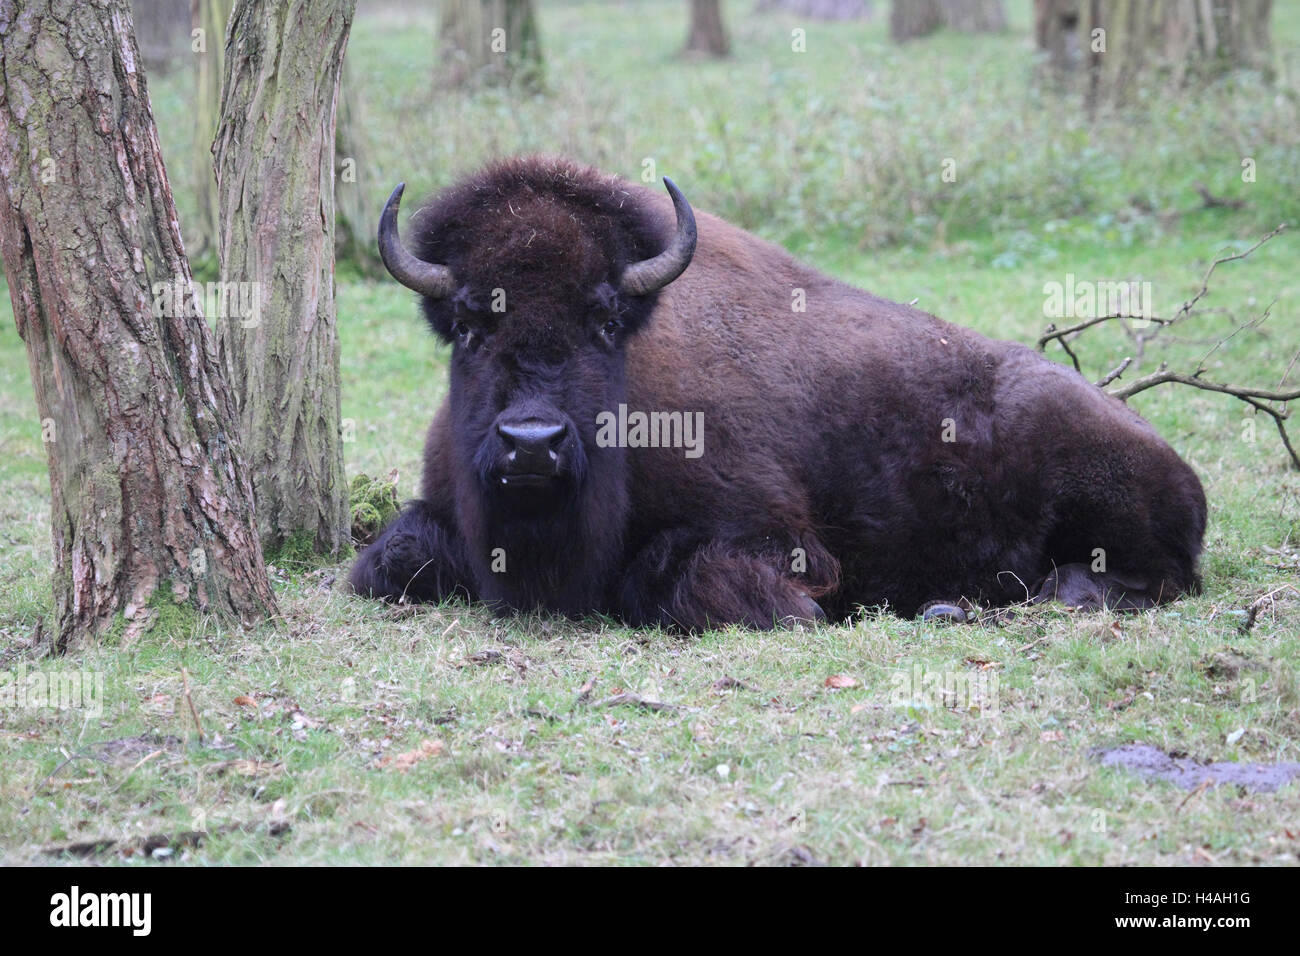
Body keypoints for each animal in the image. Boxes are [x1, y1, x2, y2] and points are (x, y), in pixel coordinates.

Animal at [348, 156, 1206, 629]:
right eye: (467, 323)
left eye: (605, 319)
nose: (532, 445)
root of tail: (1175, 462)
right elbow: (386, 561)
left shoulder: (774, 536)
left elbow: (677, 577)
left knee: (1146, 579)